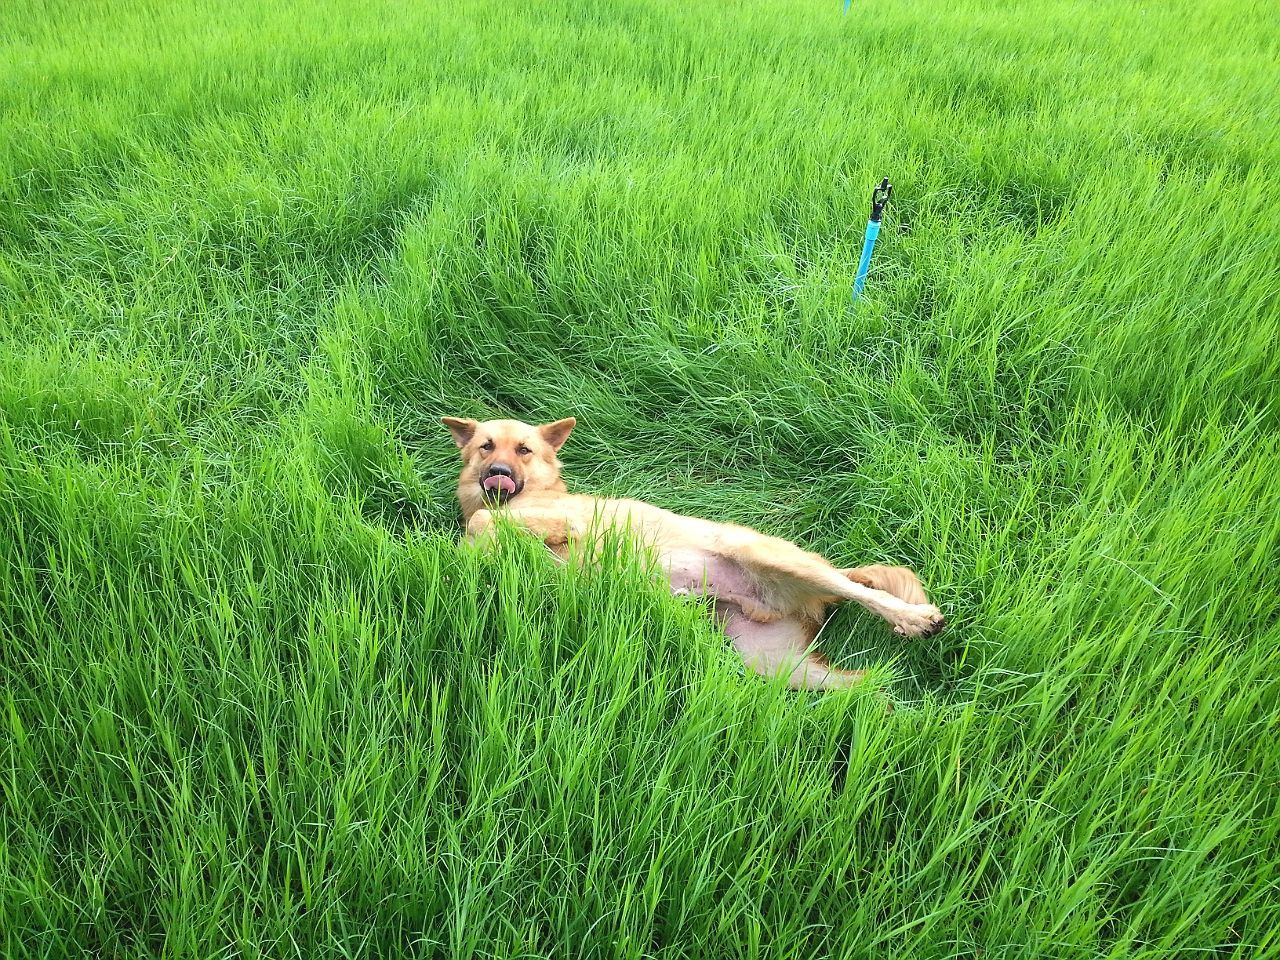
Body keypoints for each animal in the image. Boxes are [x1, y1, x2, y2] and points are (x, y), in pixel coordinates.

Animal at [445, 414, 947, 691]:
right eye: (486, 446)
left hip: (769, 559)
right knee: (863, 688)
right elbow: (475, 538)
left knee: (868, 593)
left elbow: (480, 524)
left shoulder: (565, 522)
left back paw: (916, 618)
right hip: (774, 663)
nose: (499, 472)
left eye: (524, 450)